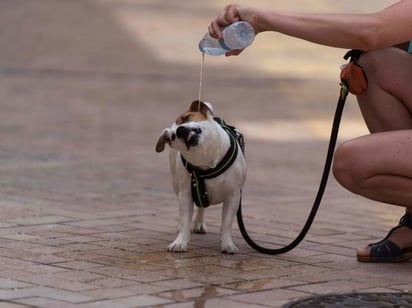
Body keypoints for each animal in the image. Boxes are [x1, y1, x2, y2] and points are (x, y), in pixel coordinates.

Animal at [155, 100, 246, 253]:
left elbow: (226, 222)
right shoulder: (186, 194)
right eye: (172, 137)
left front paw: (227, 244)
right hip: (177, 185)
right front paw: (180, 241)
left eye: (186, 117)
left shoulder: (233, 196)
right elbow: (185, 219)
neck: (206, 160)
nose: (179, 130)